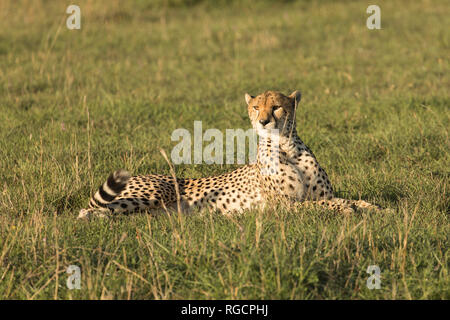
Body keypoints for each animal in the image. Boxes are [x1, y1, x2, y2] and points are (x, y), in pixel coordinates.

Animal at [78, 90, 384, 220]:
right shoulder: (283, 206)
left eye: (276, 106)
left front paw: (376, 208)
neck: (286, 148)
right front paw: (347, 209)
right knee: (88, 210)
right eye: (256, 107)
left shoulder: (322, 194)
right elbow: (321, 204)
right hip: (151, 194)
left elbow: (348, 199)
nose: (263, 121)